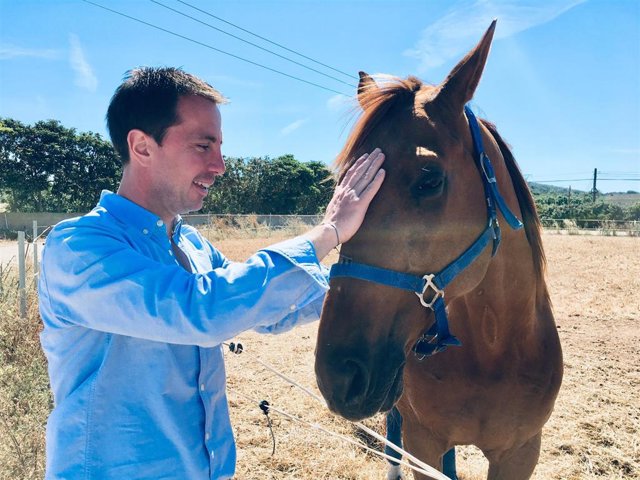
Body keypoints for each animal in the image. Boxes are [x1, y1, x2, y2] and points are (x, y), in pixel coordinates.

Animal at [314, 21, 563, 480]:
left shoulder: (521, 451)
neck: (493, 350)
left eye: (429, 179)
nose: (339, 374)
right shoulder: (425, 443)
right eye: (344, 182)